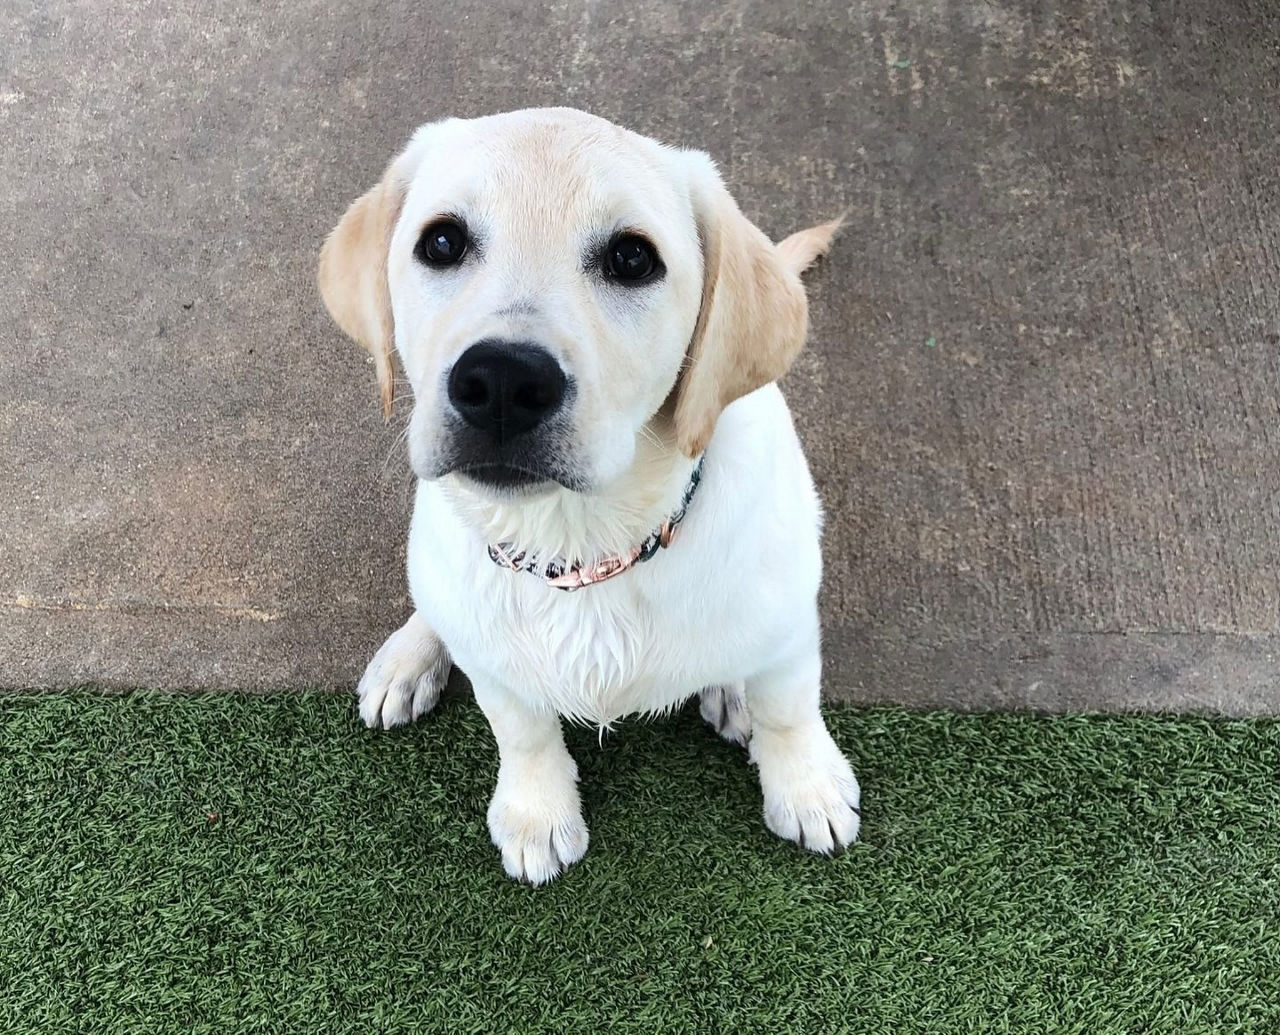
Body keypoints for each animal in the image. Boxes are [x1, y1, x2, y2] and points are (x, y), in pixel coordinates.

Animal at [320, 106, 860, 880]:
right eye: (442, 242)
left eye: (633, 259)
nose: (502, 383)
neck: (580, 541)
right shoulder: (499, 671)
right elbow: (522, 729)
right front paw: (537, 812)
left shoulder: (789, 623)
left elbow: (791, 708)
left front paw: (807, 788)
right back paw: (409, 656)